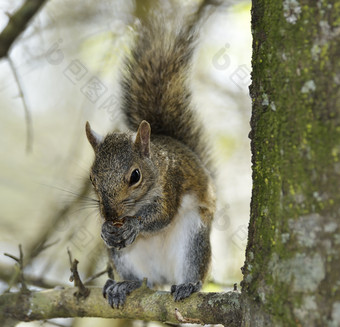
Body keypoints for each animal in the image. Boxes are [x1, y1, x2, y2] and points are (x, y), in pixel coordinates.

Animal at [84, 9, 215, 308]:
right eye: (92, 179)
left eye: (135, 176)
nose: (110, 216)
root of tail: (162, 277)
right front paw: (105, 229)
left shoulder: (172, 183)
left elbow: (163, 215)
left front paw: (135, 224)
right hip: (123, 256)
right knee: (140, 279)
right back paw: (124, 285)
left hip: (193, 237)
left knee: (192, 269)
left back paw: (189, 284)